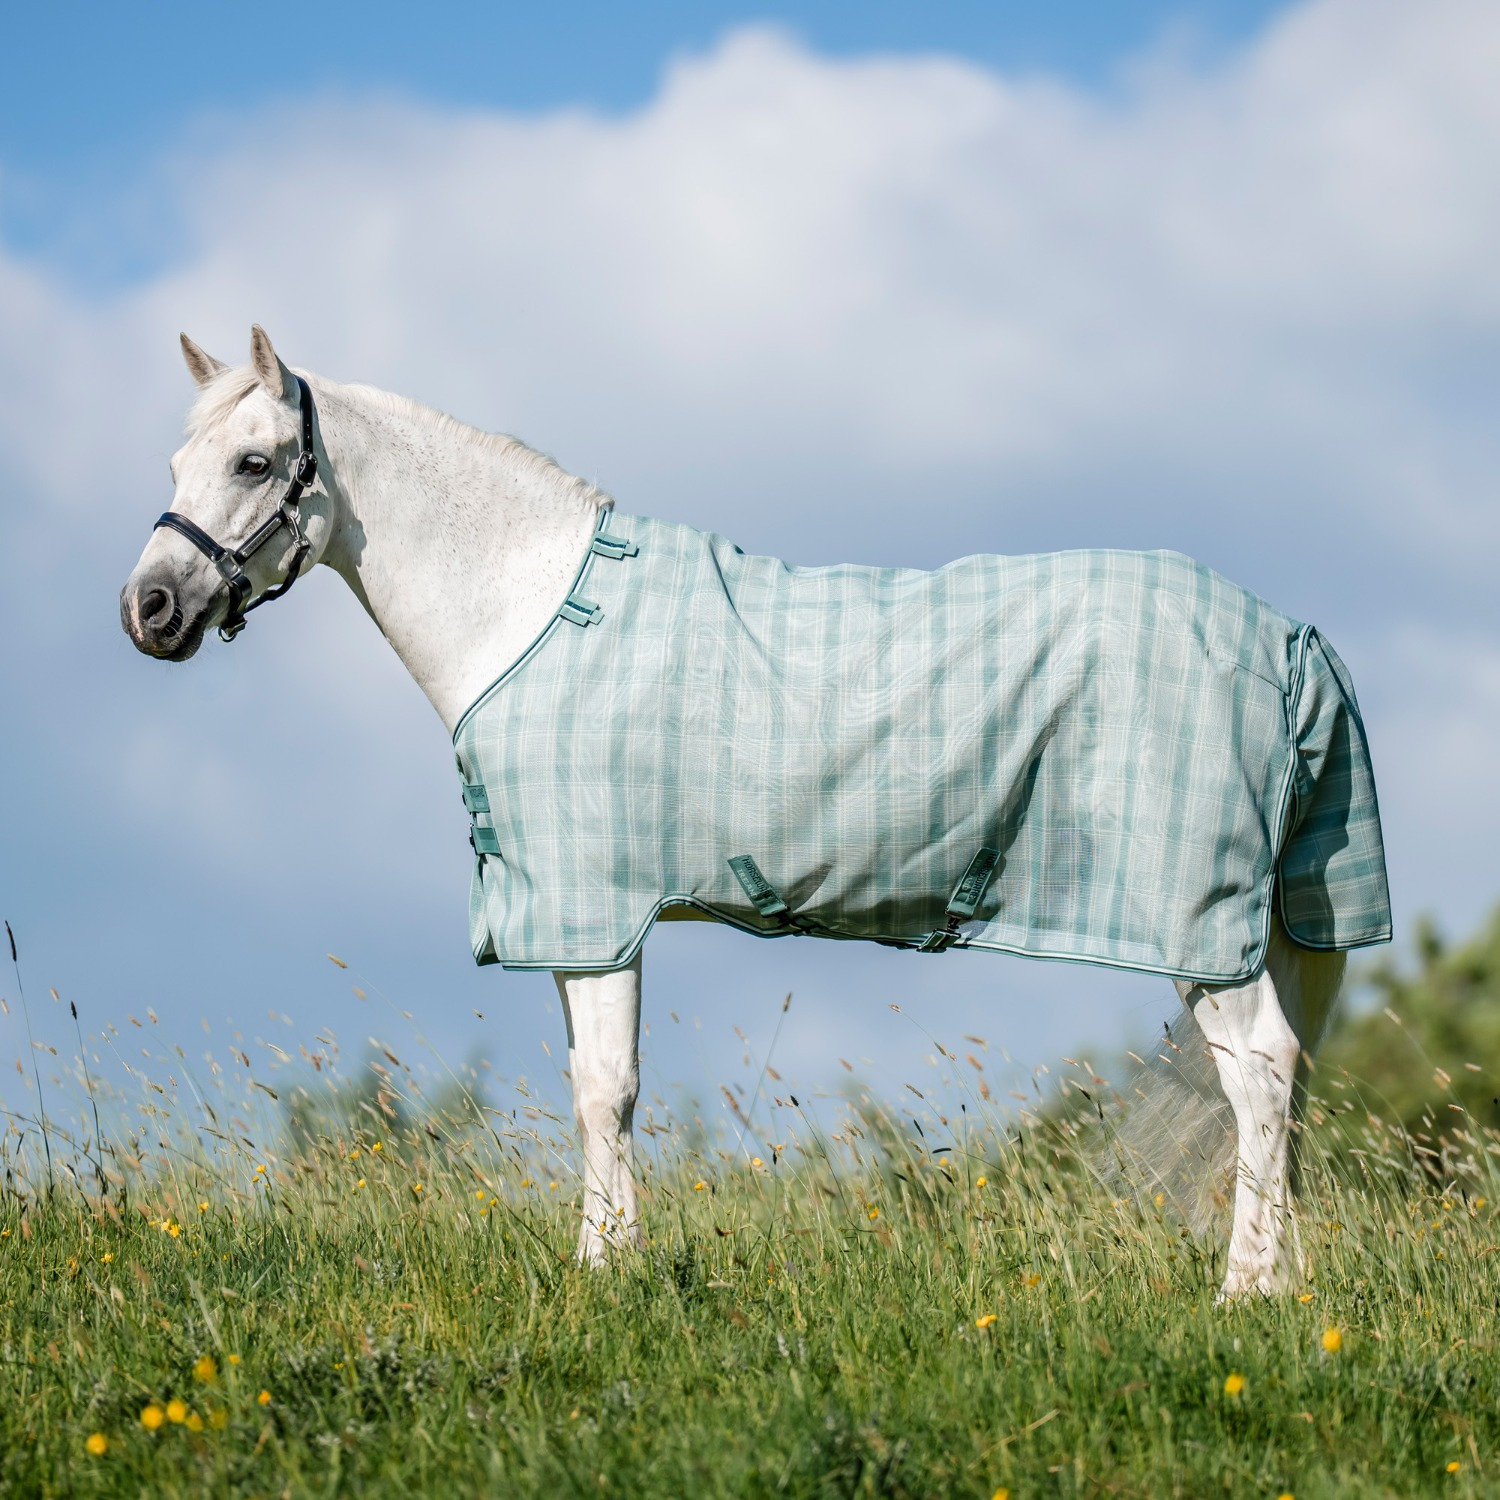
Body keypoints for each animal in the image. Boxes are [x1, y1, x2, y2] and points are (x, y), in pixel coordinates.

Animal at [120, 327, 1390, 1298]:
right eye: (175, 460)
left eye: (251, 461)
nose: (149, 609)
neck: (536, 614)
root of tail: (1285, 635)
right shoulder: (571, 922)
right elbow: (587, 1086)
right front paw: (607, 1257)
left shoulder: (594, 909)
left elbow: (607, 1091)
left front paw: (608, 1272)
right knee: (1281, 1086)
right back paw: (1283, 1284)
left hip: (1199, 926)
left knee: (1260, 1075)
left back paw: (1244, 1292)